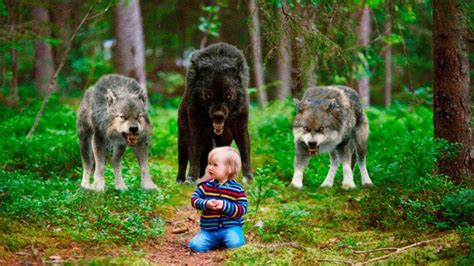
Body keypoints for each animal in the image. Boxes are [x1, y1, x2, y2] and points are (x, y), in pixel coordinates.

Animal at [177, 43, 252, 183]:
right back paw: (180, 180)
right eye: (208, 95)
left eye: (228, 95)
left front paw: (249, 178)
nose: (218, 115)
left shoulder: (240, 126)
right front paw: (191, 178)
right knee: (183, 160)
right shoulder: (196, 129)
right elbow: (194, 153)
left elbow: (245, 152)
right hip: (182, 139)